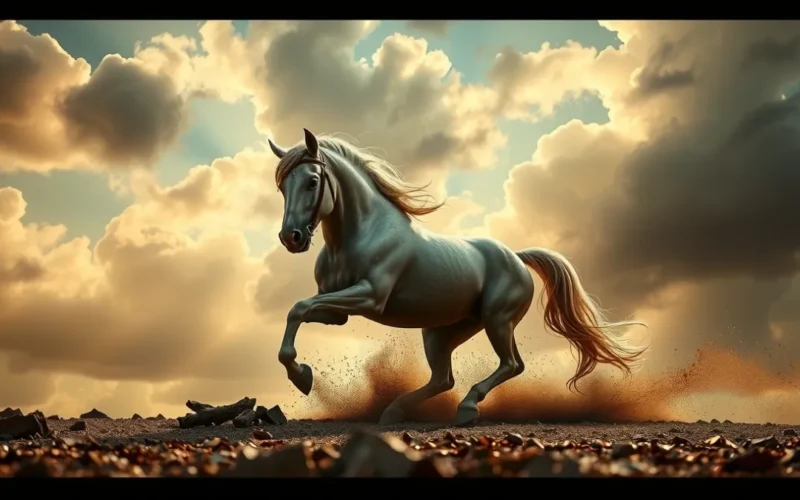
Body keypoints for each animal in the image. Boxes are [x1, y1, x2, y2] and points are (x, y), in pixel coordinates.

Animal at [269, 128, 646, 425]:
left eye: (312, 181)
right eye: (283, 187)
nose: (291, 238)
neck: (359, 234)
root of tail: (517, 258)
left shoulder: (370, 296)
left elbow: (298, 307)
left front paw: (301, 377)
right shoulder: (338, 314)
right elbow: (298, 310)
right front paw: (302, 374)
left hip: (497, 320)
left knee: (510, 365)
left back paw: (466, 408)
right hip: (443, 331)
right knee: (444, 379)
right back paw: (394, 412)